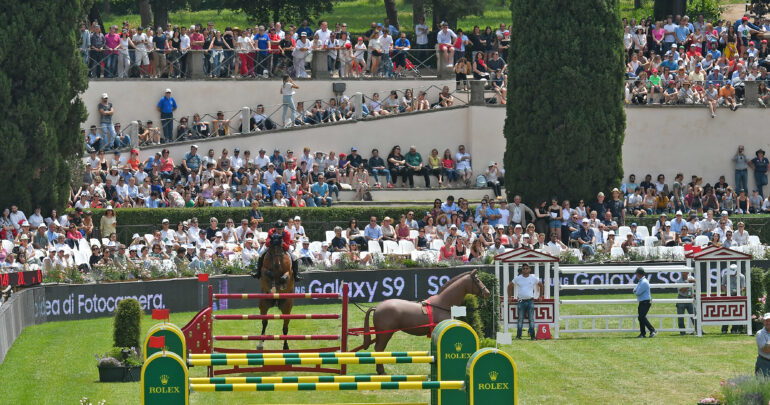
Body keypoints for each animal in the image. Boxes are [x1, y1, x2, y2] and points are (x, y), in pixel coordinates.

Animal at [356, 268, 488, 372]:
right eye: (477, 280)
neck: (442, 304)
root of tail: (377, 307)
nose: (487, 292)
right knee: (379, 349)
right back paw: (382, 371)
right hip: (385, 334)